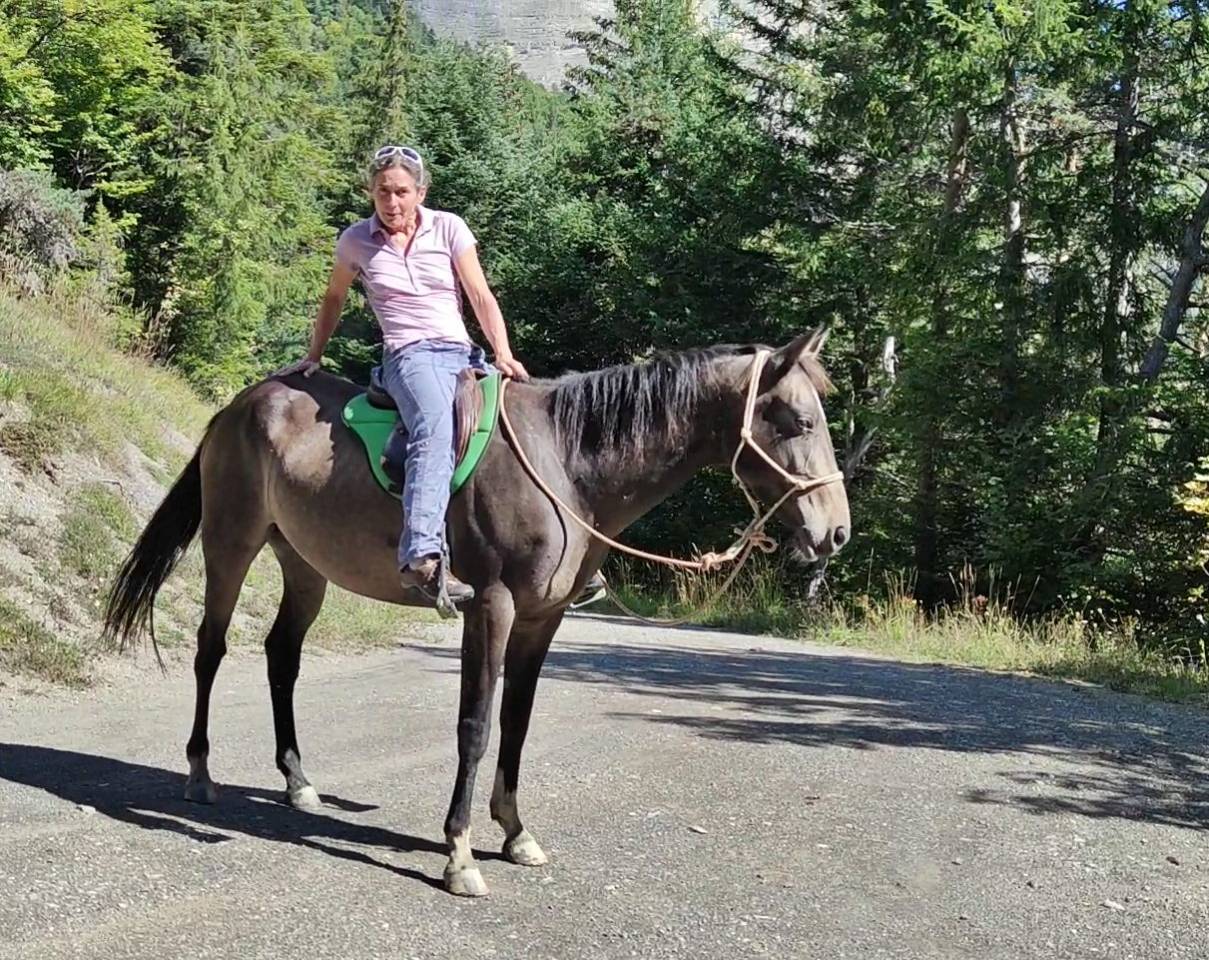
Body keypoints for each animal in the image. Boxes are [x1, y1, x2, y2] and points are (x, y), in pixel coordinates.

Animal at [103, 329, 850, 897]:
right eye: (798, 422)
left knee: (281, 657)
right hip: (231, 543)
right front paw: (459, 853)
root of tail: (238, 406)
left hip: (305, 565)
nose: (835, 532)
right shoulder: (490, 606)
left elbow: (515, 723)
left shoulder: (543, 618)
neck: (565, 466)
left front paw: (515, 832)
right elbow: (475, 725)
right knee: (210, 650)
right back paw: (200, 775)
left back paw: (299, 783)